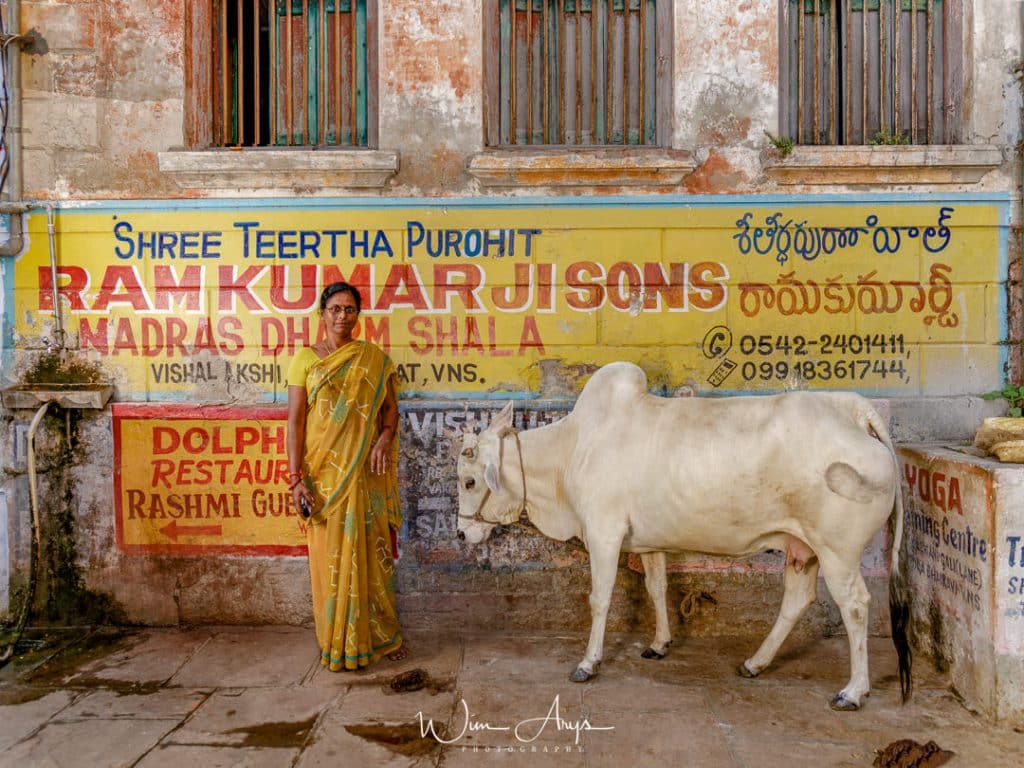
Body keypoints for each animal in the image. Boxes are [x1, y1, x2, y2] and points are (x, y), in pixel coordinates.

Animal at [458, 364, 913, 712]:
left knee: (856, 606)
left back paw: (853, 691)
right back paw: (755, 663)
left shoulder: (604, 533)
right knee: (797, 600)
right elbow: (657, 587)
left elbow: (599, 599)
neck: (569, 453)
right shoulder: (649, 541)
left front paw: (588, 663)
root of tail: (851, 408)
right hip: (804, 548)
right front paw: (659, 644)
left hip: (839, 552)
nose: (462, 532)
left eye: (468, 481)